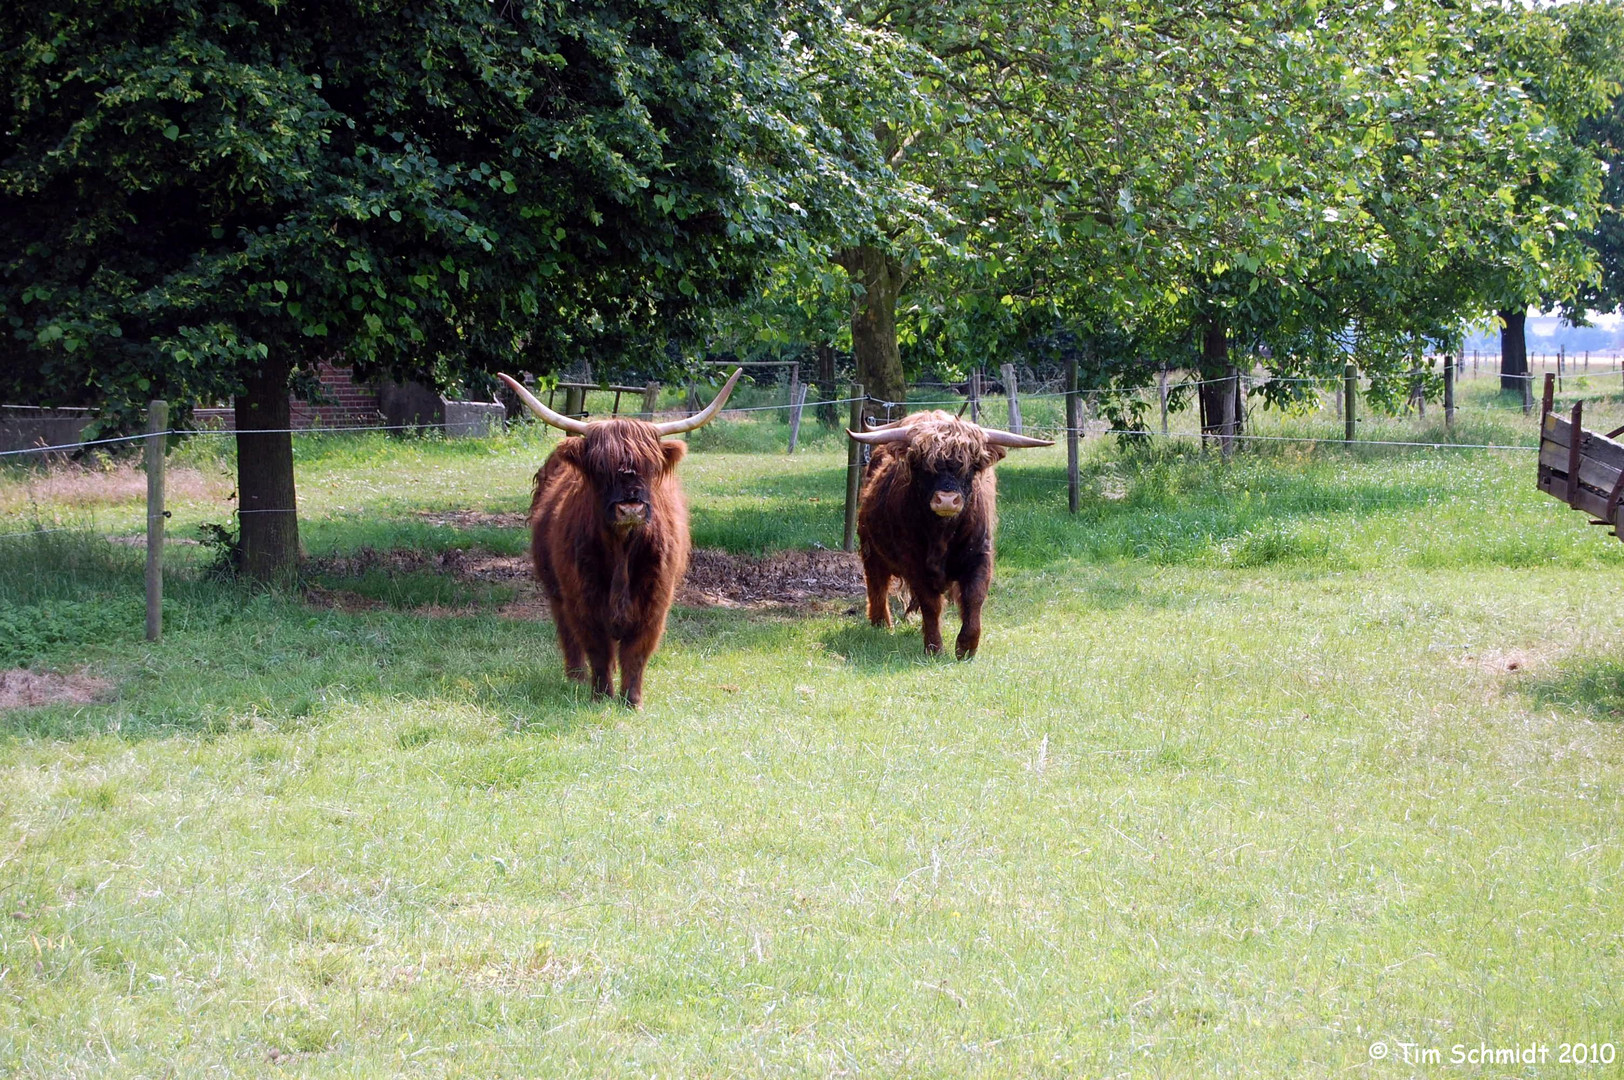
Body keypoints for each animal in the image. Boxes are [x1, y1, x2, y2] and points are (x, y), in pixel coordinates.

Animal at [496, 370, 743, 708]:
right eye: (601, 468)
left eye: (650, 466)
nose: (630, 507)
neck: (622, 550)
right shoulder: (583, 597)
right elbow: (597, 648)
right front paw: (601, 696)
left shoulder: (655, 600)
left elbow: (636, 651)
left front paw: (632, 700)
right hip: (556, 589)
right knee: (567, 632)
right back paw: (576, 676)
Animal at [850, 410, 1052, 656]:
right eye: (921, 465)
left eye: (970, 466)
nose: (947, 500)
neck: (942, 535)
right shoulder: (914, 562)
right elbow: (930, 604)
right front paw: (934, 647)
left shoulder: (980, 556)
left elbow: (974, 597)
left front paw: (966, 646)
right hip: (871, 548)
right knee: (877, 584)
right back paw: (880, 624)